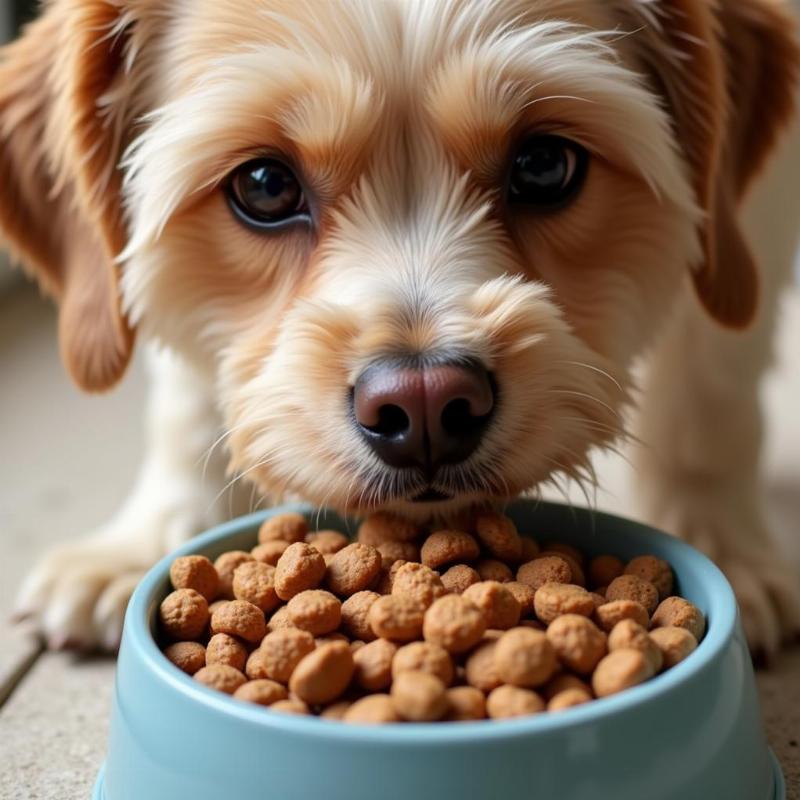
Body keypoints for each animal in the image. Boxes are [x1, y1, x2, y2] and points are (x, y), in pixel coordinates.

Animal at [1, 0, 800, 656]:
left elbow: (708, 393)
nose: (424, 405)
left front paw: (723, 543)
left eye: (545, 164)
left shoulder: (751, 217)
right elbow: (188, 404)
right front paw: (145, 542)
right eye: (264, 186)